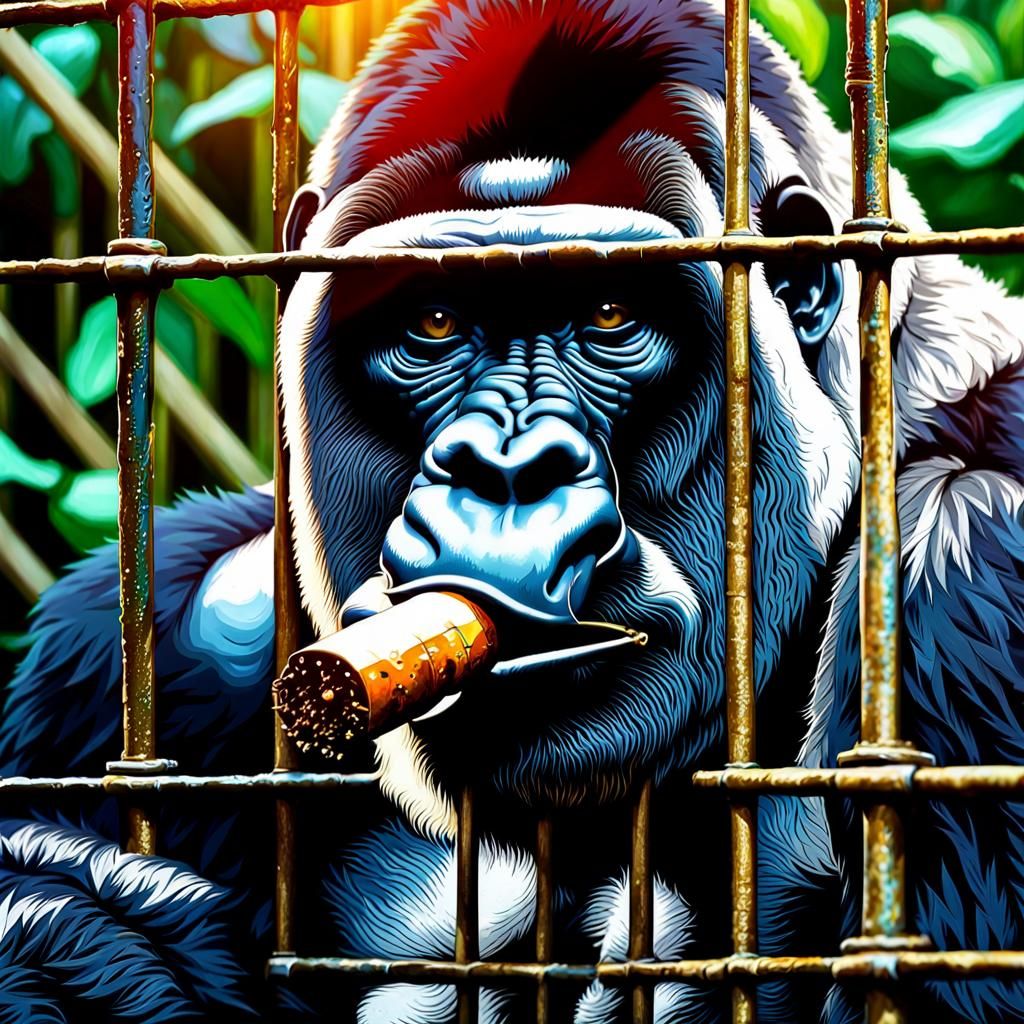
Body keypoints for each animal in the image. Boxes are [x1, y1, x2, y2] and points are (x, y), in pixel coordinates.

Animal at [1, 0, 1022, 1021]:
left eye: (611, 315)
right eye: (434, 324)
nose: (505, 472)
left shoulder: (967, 559)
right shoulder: (183, 628)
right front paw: (64, 936)